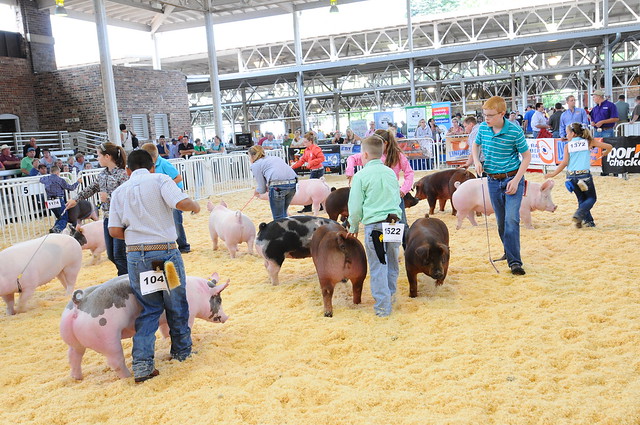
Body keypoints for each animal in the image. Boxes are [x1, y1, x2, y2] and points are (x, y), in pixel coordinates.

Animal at [60, 274, 229, 380]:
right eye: (219, 300)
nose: (227, 317)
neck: (199, 293)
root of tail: (80, 302)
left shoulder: (164, 320)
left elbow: (165, 331)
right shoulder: (189, 314)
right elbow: (183, 329)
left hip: (72, 340)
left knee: (73, 356)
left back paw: (77, 378)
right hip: (107, 337)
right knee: (115, 361)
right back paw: (128, 377)